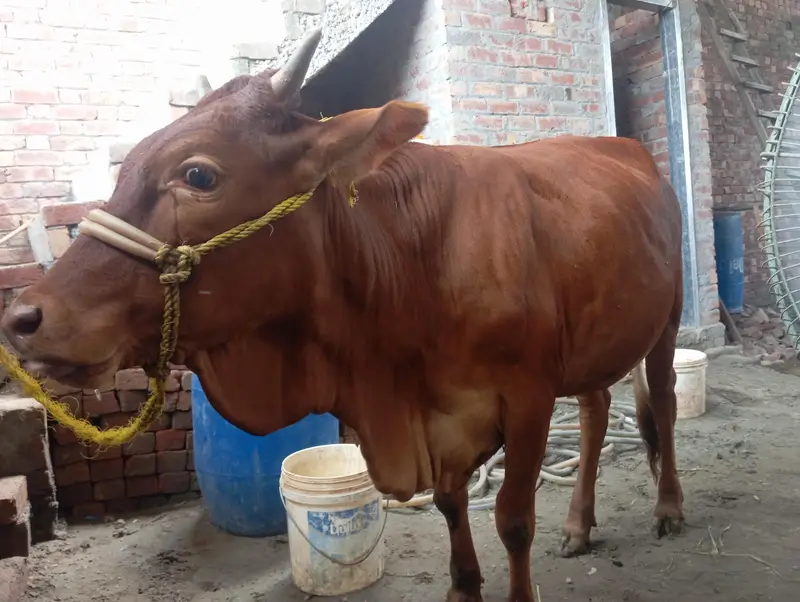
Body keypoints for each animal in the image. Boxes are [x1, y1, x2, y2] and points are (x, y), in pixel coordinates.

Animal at [1, 29, 685, 602]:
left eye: (198, 174)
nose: (23, 319)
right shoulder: (442, 421)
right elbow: (450, 505)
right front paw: (463, 589)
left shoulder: (528, 397)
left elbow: (513, 519)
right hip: (593, 342)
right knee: (596, 414)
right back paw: (579, 525)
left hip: (667, 321)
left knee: (663, 404)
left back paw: (669, 509)